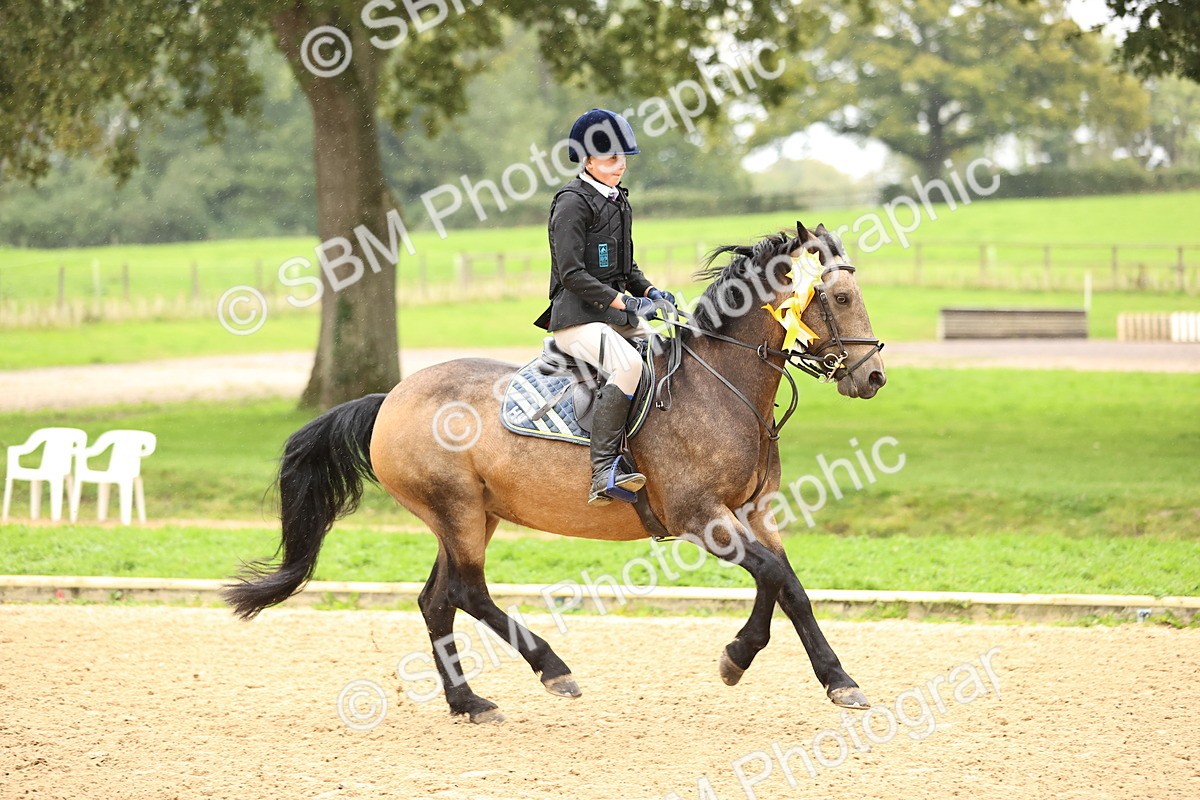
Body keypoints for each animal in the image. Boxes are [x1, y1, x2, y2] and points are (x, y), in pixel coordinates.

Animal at [224, 221, 887, 723]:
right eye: (841, 298)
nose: (874, 376)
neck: (723, 386)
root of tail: (390, 398)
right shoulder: (702, 517)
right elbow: (776, 577)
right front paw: (777, 666)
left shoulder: (752, 511)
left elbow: (787, 583)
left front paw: (802, 670)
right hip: (457, 510)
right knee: (467, 593)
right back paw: (552, 670)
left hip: (471, 515)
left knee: (437, 600)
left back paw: (467, 702)